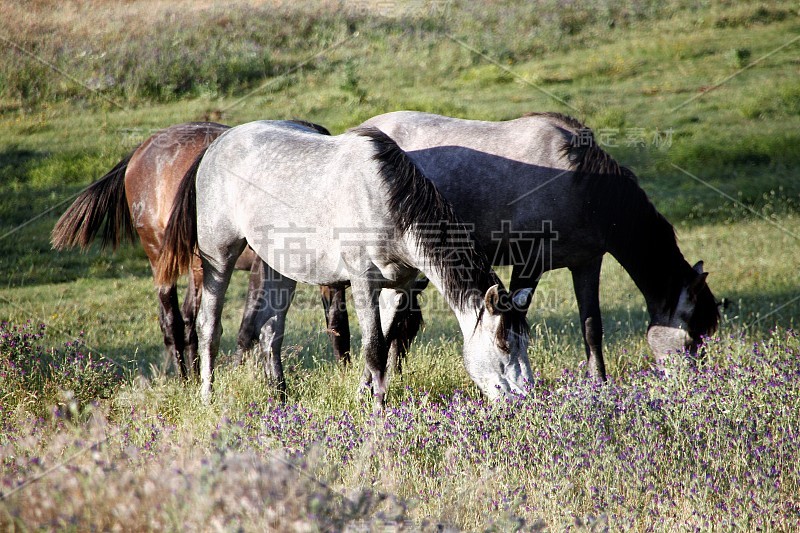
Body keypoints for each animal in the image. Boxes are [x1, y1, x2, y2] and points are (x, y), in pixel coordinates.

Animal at [51, 120, 348, 378]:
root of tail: (140, 151)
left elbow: (337, 323)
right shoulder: (262, 268)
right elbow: (248, 327)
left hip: (197, 269)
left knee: (187, 322)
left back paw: (195, 376)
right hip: (163, 260)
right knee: (173, 322)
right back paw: (186, 381)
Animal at [350, 111, 720, 378]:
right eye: (691, 339)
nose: (697, 386)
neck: (583, 184)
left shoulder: (587, 263)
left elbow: (592, 327)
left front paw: (600, 383)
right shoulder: (529, 260)